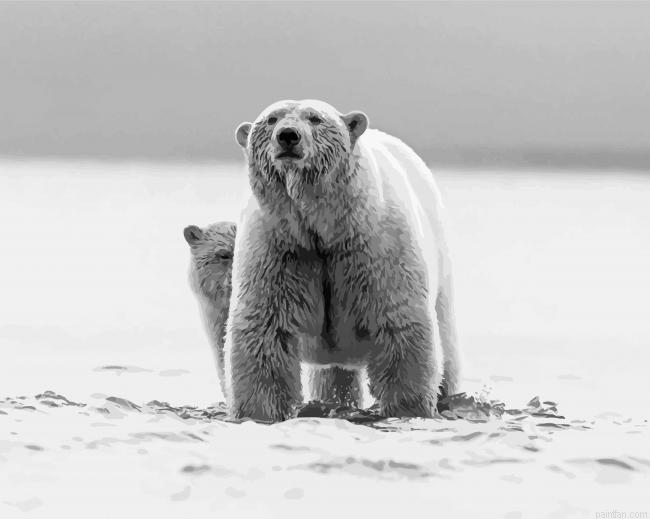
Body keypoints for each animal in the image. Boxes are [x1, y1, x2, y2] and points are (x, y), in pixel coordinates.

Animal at [226, 99, 460, 422]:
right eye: (271, 119)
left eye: (315, 118)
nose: (288, 136)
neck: (326, 230)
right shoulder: (279, 251)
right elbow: (265, 331)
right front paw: (260, 411)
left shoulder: (376, 250)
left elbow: (399, 327)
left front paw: (408, 408)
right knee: (331, 377)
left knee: (447, 348)